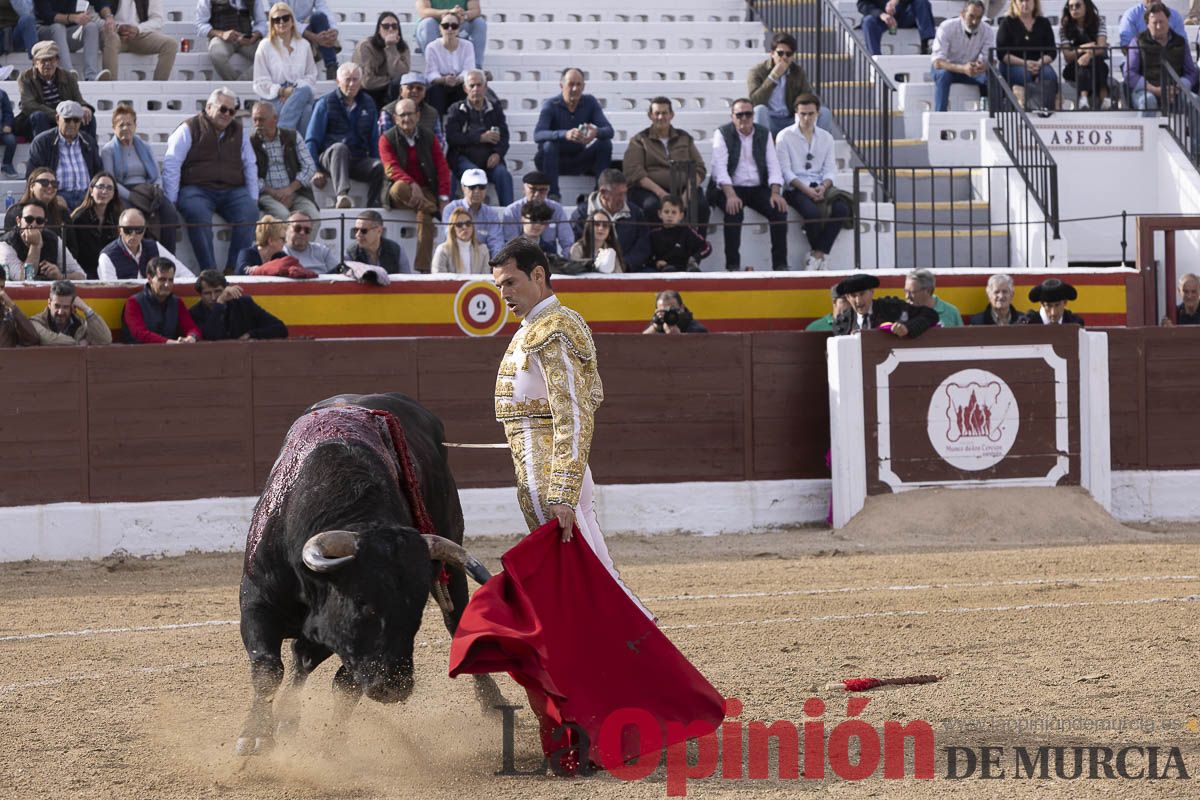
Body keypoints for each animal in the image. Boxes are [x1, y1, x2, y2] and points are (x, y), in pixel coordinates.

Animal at [238, 393, 506, 758]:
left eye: (416, 610)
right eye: (363, 603)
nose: (394, 686)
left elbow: (344, 685)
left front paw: (331, 747)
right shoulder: (257, 604)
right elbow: (267, 669)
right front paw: (256, 737)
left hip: (453, 559)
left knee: (456, 624)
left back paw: (493, 703)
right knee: (299, 662)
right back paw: (287, 720)